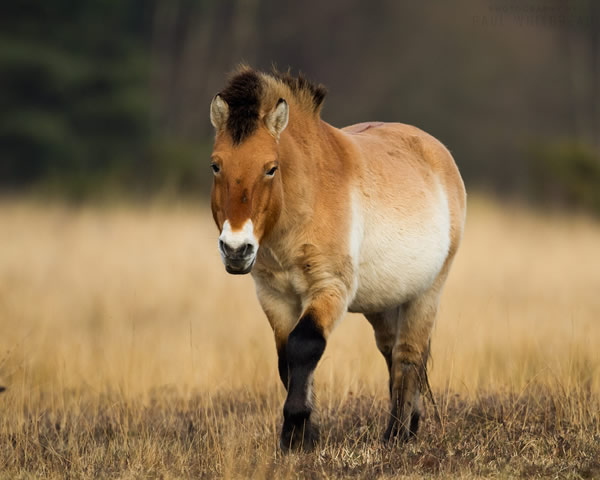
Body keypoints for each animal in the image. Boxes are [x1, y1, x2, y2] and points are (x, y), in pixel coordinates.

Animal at [209, 66, 466, 450]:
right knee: (393, 354)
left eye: (271, 168)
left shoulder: (330, 288)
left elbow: (305, 346)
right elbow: (287, 360)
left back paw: (395, 436)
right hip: (384, 302)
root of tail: (437, 151)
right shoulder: (274, 296)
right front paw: (305, 437)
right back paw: (409, 427)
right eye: (215, 166)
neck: (305, 200)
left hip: (427, 293)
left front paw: (294, 432)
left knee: (408, 356)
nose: (236, 249)